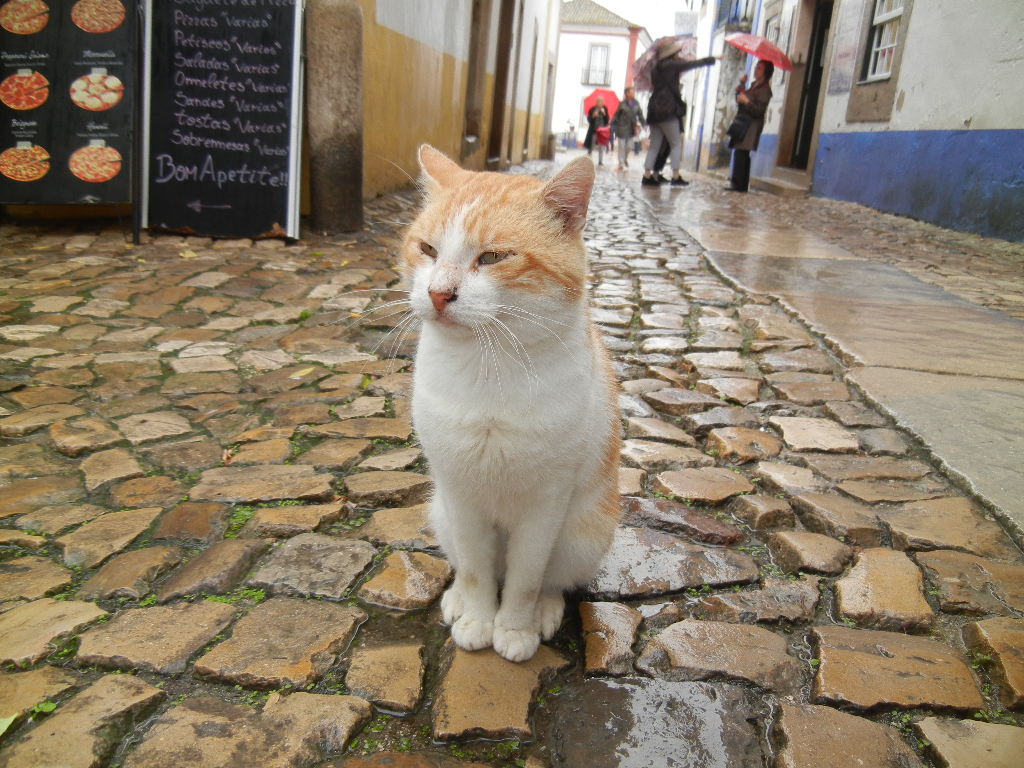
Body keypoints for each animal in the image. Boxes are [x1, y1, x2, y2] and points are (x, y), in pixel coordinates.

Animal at [401, 147, 618, 663]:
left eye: (494, 257)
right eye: (428, 250)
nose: (438, 293)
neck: (488, 365)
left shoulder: (546, 504)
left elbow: (524, 579)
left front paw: (515, 628)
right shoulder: (460, 494)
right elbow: (477, 570)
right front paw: (479, 618)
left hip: (582, 534)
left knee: (553, 579)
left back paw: (544, 611)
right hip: (441, 512)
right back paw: (458, 599)